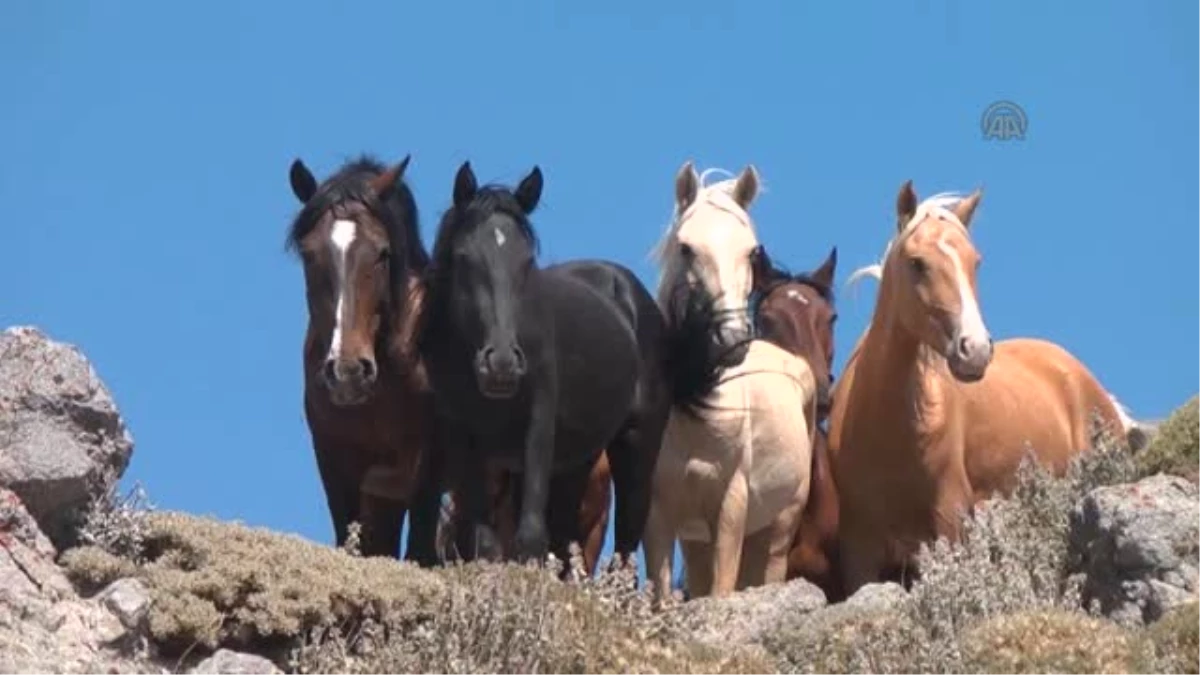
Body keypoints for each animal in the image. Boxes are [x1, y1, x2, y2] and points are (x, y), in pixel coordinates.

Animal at [417, 159, 672, 564]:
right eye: (464, 258)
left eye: (526, 261)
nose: (502, 364)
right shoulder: (463, 433)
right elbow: (485, 539)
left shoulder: (538, 424)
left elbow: (531, 537)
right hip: (578, 460)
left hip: (637, 442)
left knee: (627, 542)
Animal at [643, 159, 820, 595]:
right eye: (686, 248)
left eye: (751, 252)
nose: (733, 339)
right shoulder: (659, 513)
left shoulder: (730, 507)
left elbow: (722, 591)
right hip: (696, 539)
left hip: (777, 527)